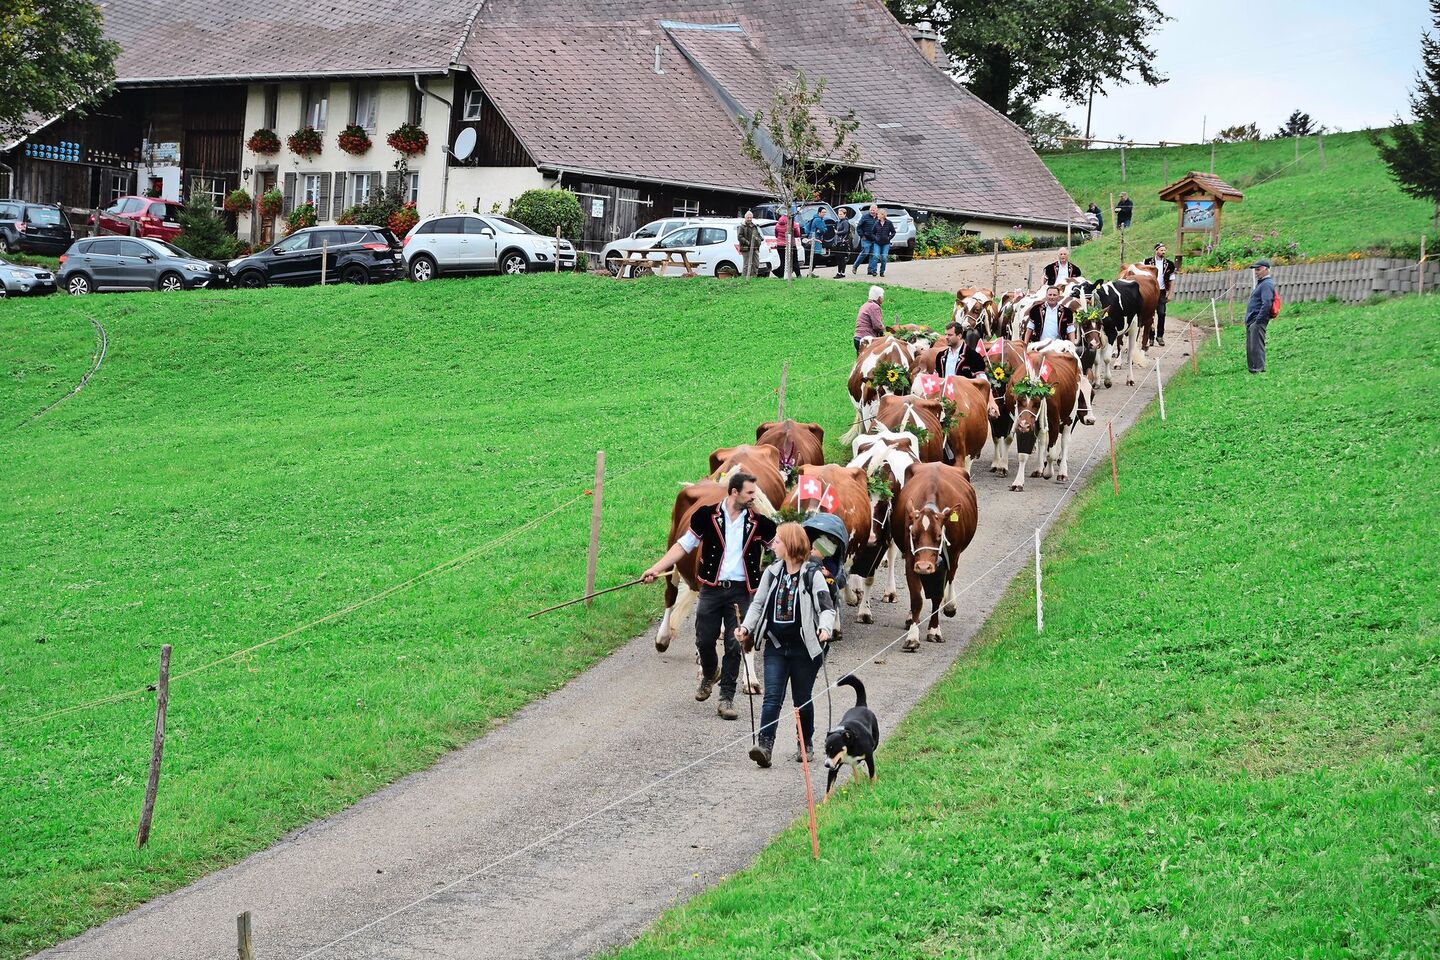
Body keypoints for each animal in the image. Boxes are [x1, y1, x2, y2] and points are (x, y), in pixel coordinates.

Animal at [844, 430, 920, 623]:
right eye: (861, 506)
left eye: (885, 504)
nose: (871, 538)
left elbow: (870, 576)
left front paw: (864, 611)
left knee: (892, 555)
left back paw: (890, 592)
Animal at [892, 462, 978, 651]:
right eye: (913, 534)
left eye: (939, 535)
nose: (924, 567)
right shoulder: (911, 560)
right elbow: (916, 599)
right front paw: (912, 636)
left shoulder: (948, 558)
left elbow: (937, 596)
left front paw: (934, 631)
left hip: (955, 557)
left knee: (952, 576)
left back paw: (950, 605)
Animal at [1009, 351, 1083, 492]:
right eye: (1018, 401)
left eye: (1037, 403)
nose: (1025, 425)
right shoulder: (1021, 423)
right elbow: (1023, 455)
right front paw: (1018, 482)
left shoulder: (1054, 423)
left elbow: (1051, 454)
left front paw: (1048, 473)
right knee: (1043, 440)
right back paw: (1039, 469)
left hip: (1070, 415)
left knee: (1065, 442)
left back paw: (1062, 473)